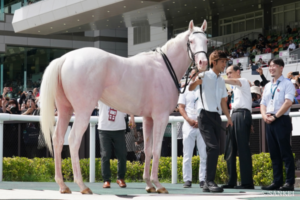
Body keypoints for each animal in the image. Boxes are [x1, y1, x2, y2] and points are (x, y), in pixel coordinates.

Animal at [39, 19, 209, 194]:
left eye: (207, 41)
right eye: (191, 41)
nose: (203, 63)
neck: (164, 68)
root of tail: (65, 58)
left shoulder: (148, 118)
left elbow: (147, 149)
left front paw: (149, 184)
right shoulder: (161, 117)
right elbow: (156, 150)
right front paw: (159, 185)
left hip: (65, 110)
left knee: (58, 139)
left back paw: (62, 185)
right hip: (82, 111)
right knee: (73, 140)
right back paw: (82, 186)